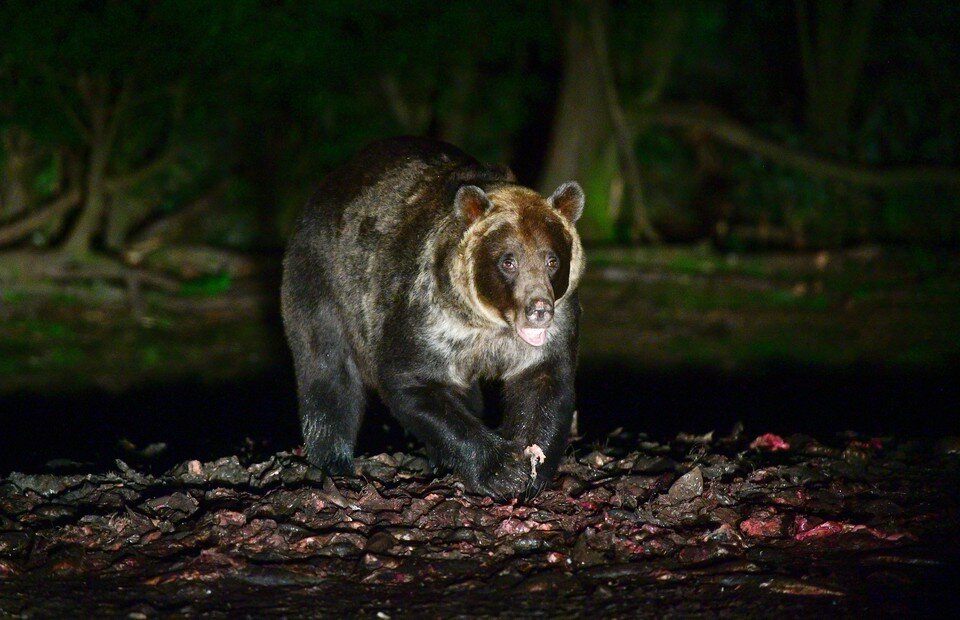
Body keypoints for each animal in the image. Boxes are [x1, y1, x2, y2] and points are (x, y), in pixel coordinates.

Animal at [282, 137, 584, 498]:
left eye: (552, 260)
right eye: (508, 261)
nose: (538, 310)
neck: (488, 326)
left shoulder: (554, 326)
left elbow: (545, 384)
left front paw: (533, 467)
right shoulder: (429, 318)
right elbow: (413, 382)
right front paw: (502, 469)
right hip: (323, 283)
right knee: (327, 372)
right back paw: (332, 462)